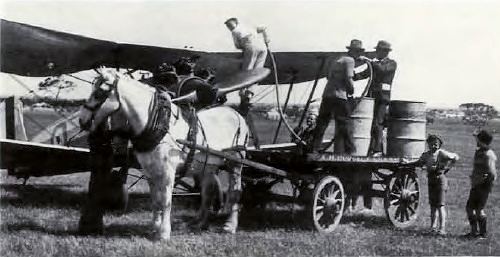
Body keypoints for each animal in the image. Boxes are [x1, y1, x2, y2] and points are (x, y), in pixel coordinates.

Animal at [79, 68, 249, 240]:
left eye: (99, 93)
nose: (82, 120)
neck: (160, 125)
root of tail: (236, 113)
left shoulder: (168, 171)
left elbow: (166, 201)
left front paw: (164, 233)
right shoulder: (149, 170)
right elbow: (155, 200)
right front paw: (154, 227)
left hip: (235, 162)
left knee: (235, 191)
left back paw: (229, 225)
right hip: (209, 165)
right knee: (208, 192)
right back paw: (200, 223)